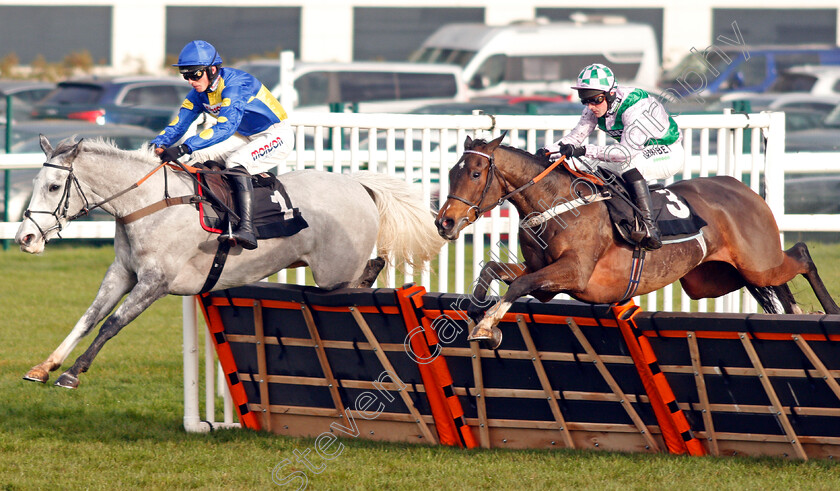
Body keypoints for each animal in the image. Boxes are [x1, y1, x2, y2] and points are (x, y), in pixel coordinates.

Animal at [16, 136, 442, 390]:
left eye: (53, 186)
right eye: (36, 184)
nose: (25, 239)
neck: (148, 204)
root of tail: (358, 183)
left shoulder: (156, 282)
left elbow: (112, 324)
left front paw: (72, 373)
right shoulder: (122, 273)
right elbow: (88, 318)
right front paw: (45, 366)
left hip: (336, 271)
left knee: (364, 276)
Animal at [436, 135, 836, 348]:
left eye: (475, 173)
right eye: (453, 172)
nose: (445, 222)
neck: (554, 203)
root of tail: (743, 188)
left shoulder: (575, 272)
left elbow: (517, 285)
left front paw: (486, 327)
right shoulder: (546, 277)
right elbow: (494, 271)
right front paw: (479, 312)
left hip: (758, 263)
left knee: (801, 254)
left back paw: (828, 310)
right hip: (714, 279)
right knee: (778, 282)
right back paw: (796, 313)